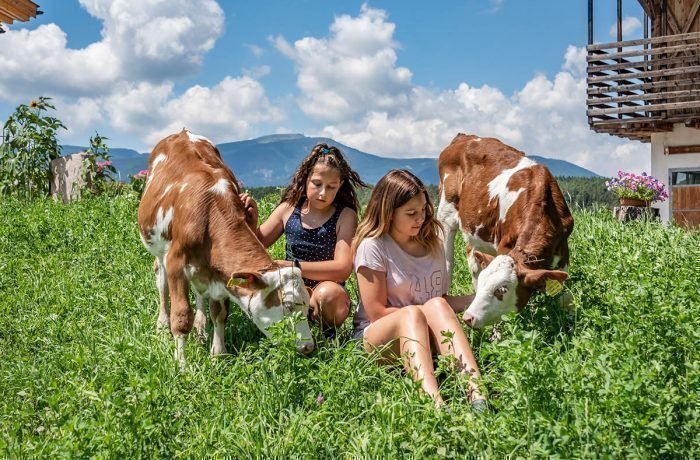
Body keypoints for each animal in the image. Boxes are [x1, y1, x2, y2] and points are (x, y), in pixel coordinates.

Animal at [138, 127, 314, 362]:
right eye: (287, 305)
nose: (309, 347)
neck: (209, 211)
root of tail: (182, 132)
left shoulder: (219, 272)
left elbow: (219, 312)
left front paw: (218, 354)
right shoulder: (176, 262)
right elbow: (182, 316)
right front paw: (182, 364)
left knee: (199, 293)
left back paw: (201, 327)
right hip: (159, 251)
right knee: (161, 280)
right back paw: (162, 324)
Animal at [438, 132, 576, 328]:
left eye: (502, 289)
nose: (468, 317)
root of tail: (464, 137)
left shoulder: (563, 248)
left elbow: (564, 296)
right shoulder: (503, 245)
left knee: (473, 259)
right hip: (446, 212)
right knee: (448, 263)